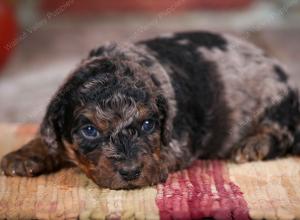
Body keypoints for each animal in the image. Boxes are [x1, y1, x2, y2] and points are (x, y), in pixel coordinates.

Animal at [1, 31, 298, 189]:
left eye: (147, 125)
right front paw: (24, 155)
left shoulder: (179, 142)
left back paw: (254, 144)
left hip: (277, 99)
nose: (131, 171)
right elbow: (48, 139)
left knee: (282, 131)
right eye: (89, 130)